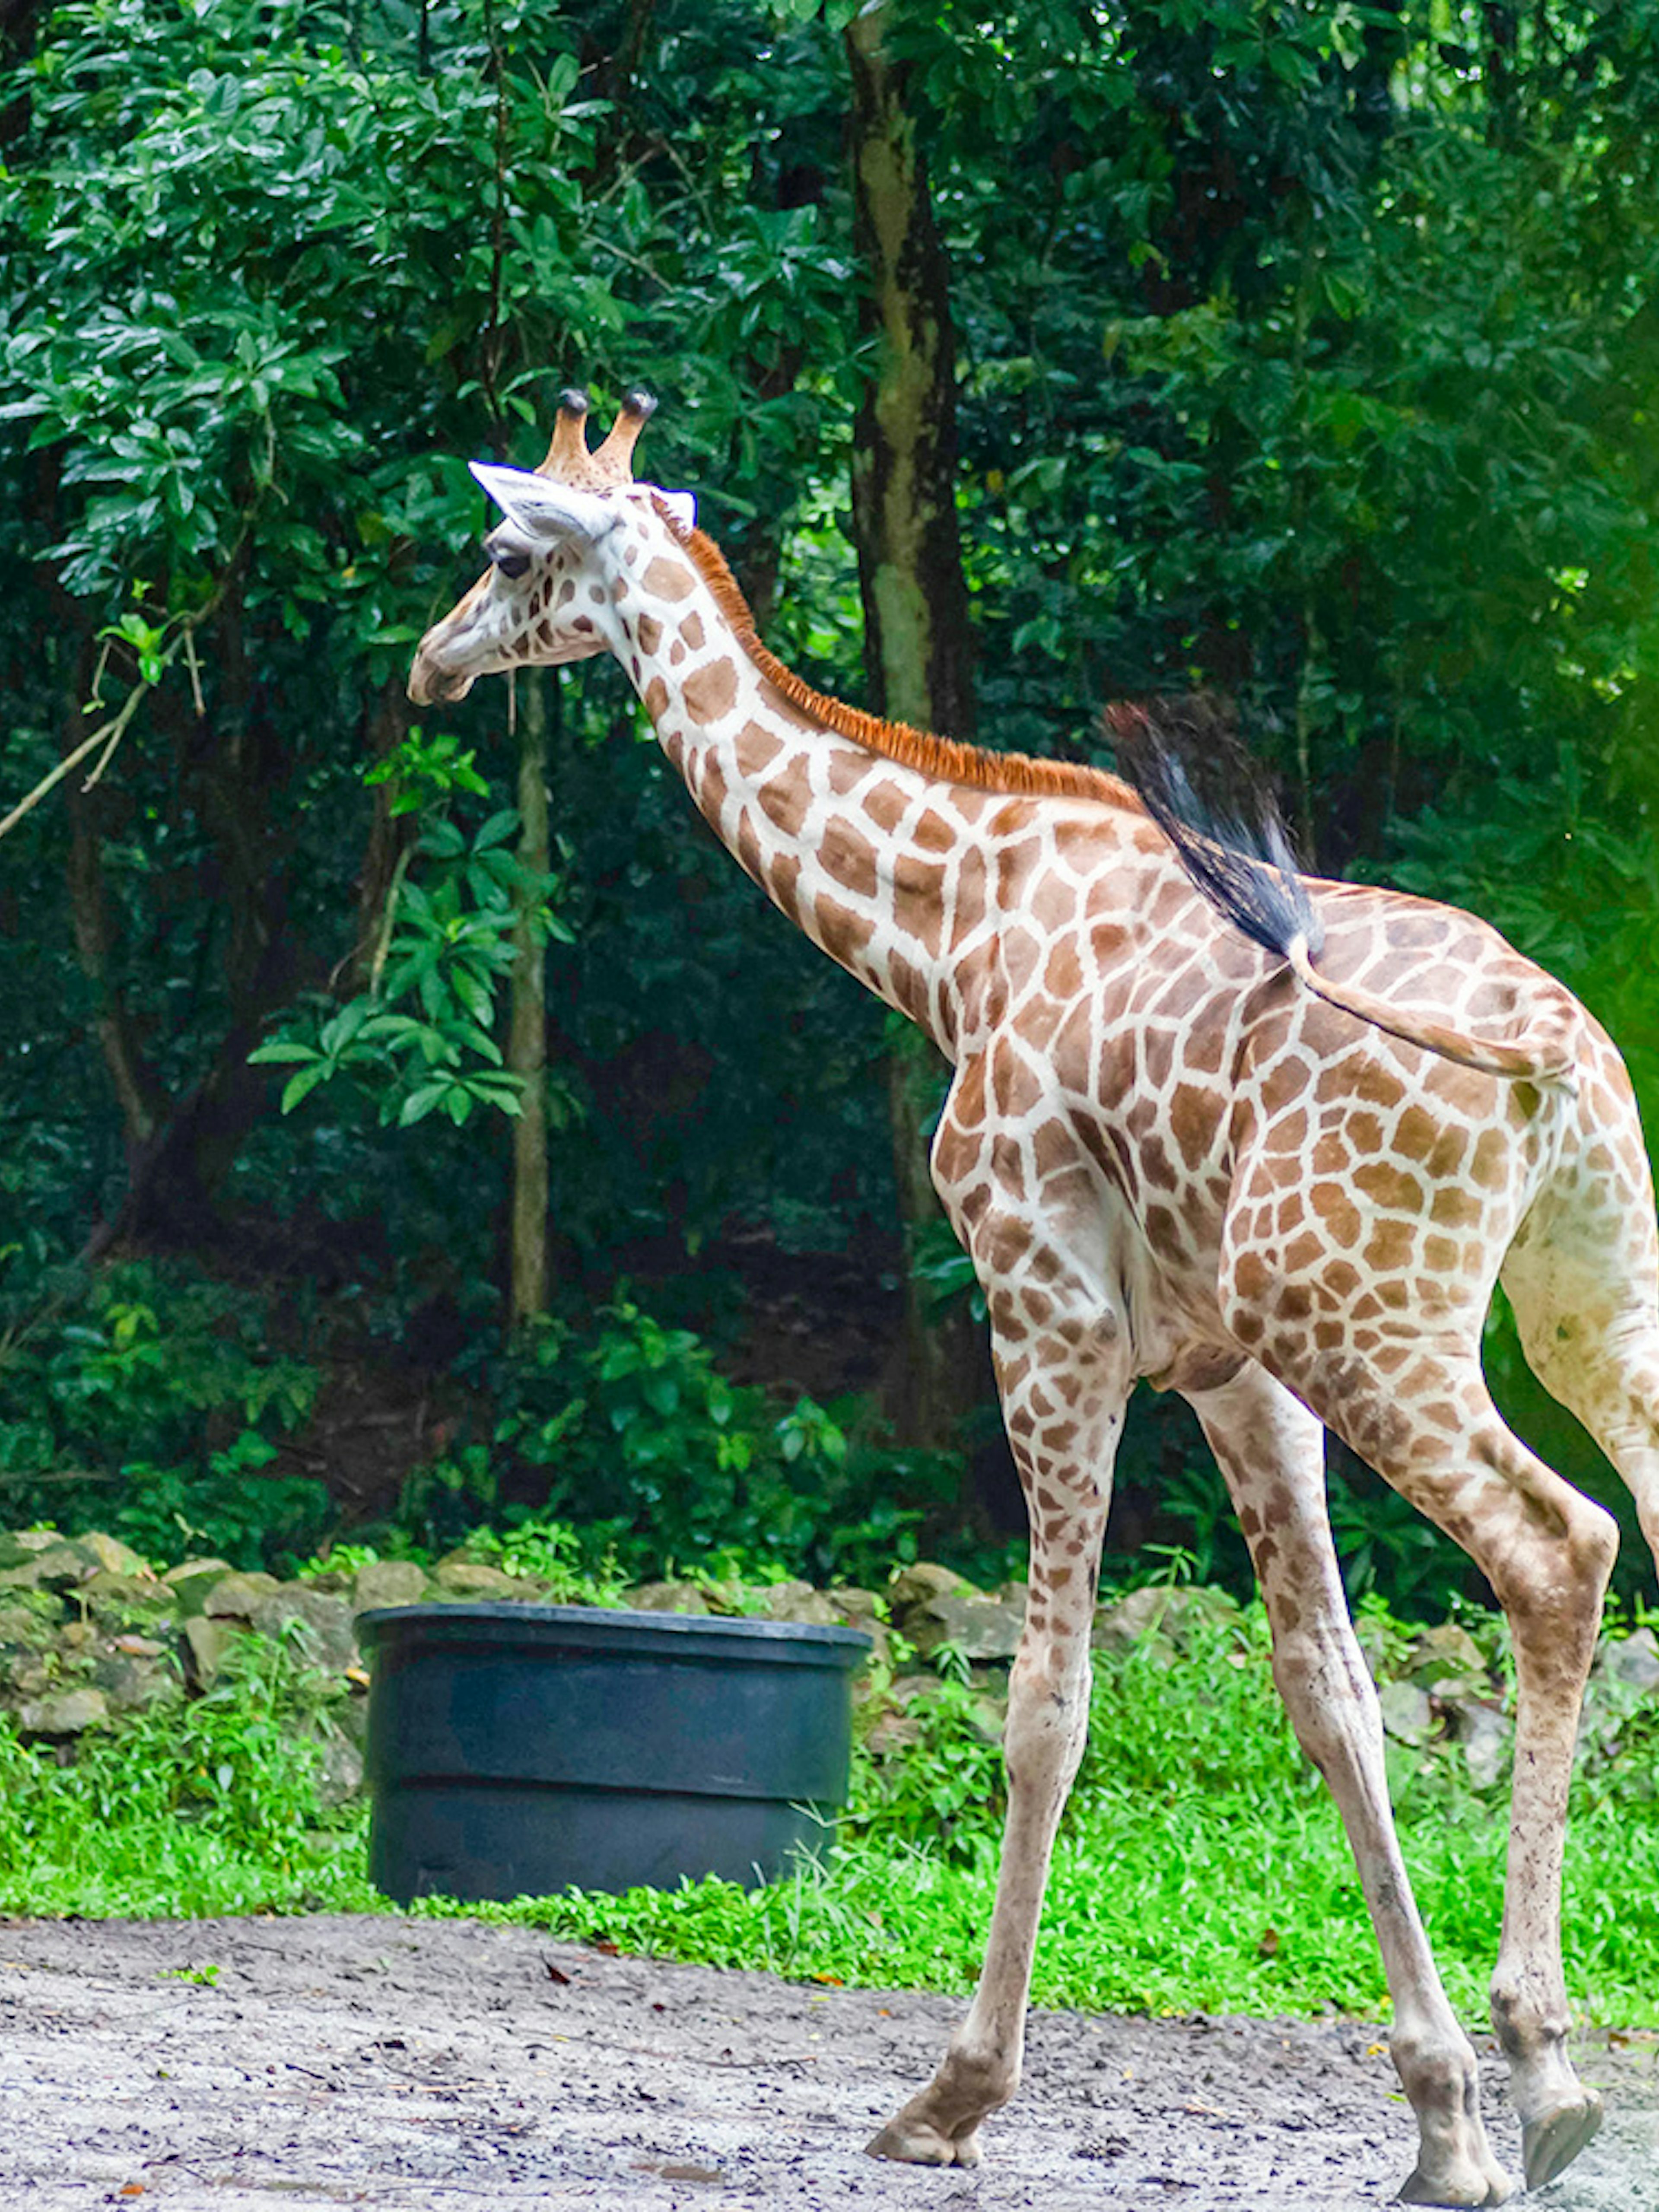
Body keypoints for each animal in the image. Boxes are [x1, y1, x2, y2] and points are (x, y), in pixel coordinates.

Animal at [408, 389, 1659, 2205]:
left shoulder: (1046, 1303)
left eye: (506, 552)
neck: (947, 927)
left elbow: (1046, 1703)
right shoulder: (1231, 1370)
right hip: (1585, 1304)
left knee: (1559, 1549)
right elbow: (1333, 1694)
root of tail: (1554, 1055)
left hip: (1374, 1315)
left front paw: (953, 2093)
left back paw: (1553, 2064)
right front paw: (1438, 2123)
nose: (429, 663)